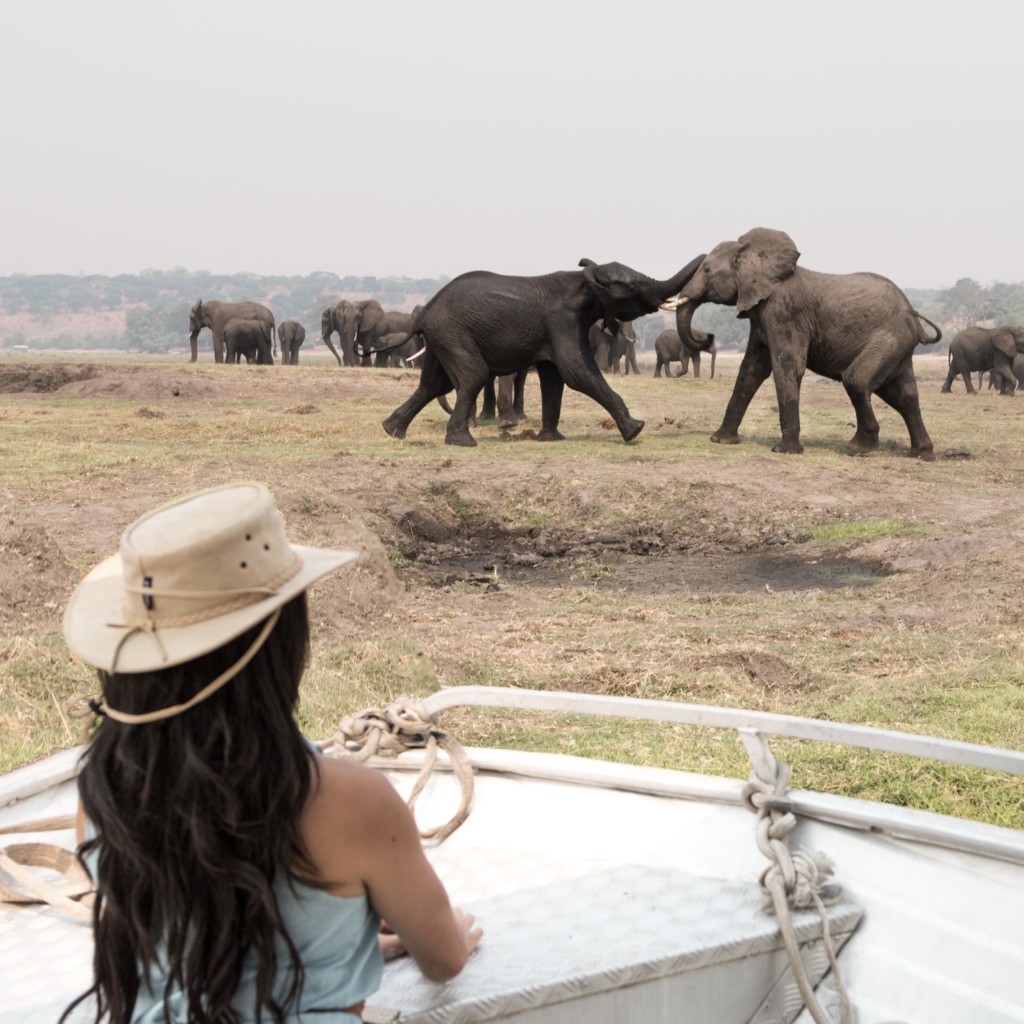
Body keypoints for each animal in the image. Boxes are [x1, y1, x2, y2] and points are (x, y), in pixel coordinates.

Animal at [380, 253, 708, 446]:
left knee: (434, 384)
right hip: (452, 333)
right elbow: (577, 373)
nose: (707, 256)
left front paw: (551, 439)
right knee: (472, 374)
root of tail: (426, 311)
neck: (584, 280)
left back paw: (392, 431)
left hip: (442, 337)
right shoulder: (563, 321)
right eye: (633, 289)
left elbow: (554, 378)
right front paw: (636, 430)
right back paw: (462, 442)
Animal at [671, 232, 942, 460]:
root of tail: (914, 317)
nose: (708, 336)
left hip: (889, 340)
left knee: (857, 380)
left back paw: (859, 448)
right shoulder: (761, 316)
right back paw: (922, 454)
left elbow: (787, 365)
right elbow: (751, 370)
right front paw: (720, 440)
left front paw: (785, 451)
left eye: (707, 269)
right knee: (903, 394)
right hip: (898, 348)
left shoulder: (784, 312)